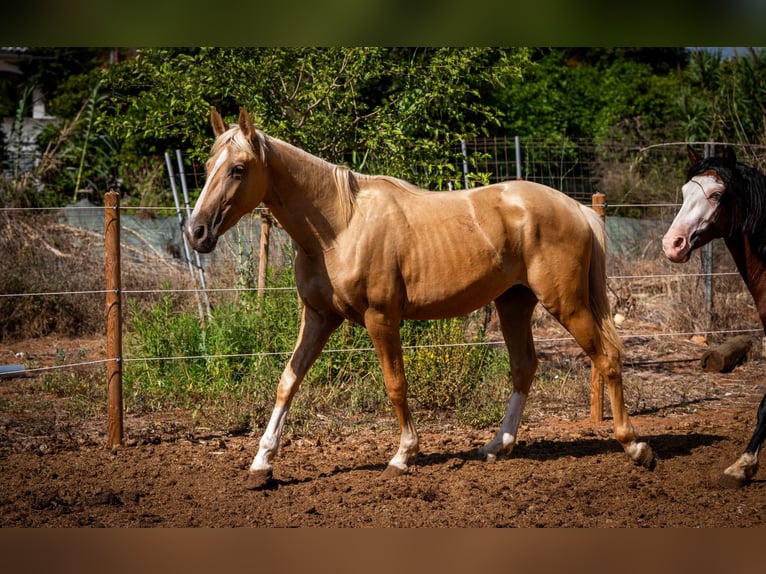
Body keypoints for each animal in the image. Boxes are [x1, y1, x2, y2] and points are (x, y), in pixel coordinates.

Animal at [184, 109, 656, 490]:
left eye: (239, 169)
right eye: (207, 165)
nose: (195, 232)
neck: (339, 227)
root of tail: (579, 210)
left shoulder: (380, 319)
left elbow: (395, 384)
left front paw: (403, 455)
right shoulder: (318, 317)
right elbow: (288, 381)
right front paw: (261, 464)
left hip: (567, 304)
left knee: (607, 358)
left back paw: (636, 447)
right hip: (514, 303)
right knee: (524, 367)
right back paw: (495, 446)